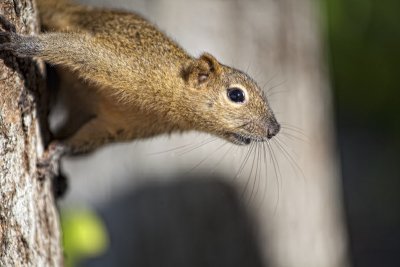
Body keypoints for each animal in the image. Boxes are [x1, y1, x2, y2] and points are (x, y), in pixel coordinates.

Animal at [0, 0, 282, 157]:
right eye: (236, 95)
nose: (274, 129)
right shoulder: (124, 61)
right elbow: (75, 49)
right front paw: (20, 43)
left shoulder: (119, 126)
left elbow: (86, 137)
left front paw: (57, 153)